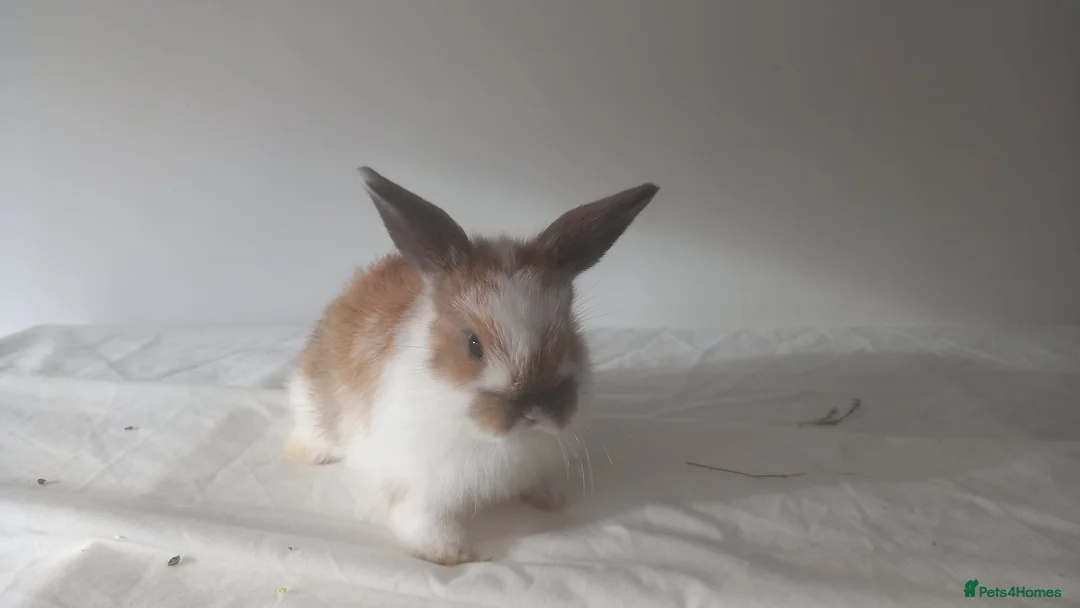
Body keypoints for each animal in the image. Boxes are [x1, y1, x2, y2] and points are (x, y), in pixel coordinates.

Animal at [285, 166, 659, 565]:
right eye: (473, 345)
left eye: (568, 331)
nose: (535, 408)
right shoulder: (417, 486)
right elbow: (422, 518)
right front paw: (451, 553)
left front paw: (550, 499)